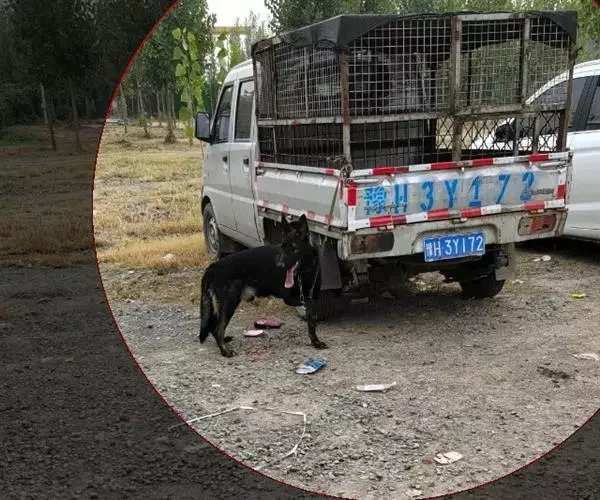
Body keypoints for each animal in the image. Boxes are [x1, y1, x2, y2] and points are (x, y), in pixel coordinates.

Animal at [199, 214, 327, 357]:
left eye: (293, 249)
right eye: (282, 248)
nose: (279, 265)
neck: (304, 271)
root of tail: (212, 267)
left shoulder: (312, 295)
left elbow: (311, 321)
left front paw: (315, 342)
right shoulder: (289, 298)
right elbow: (308, 305)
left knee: (213, 326)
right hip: (229, 303)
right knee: (218, 328)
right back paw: (225, 351)